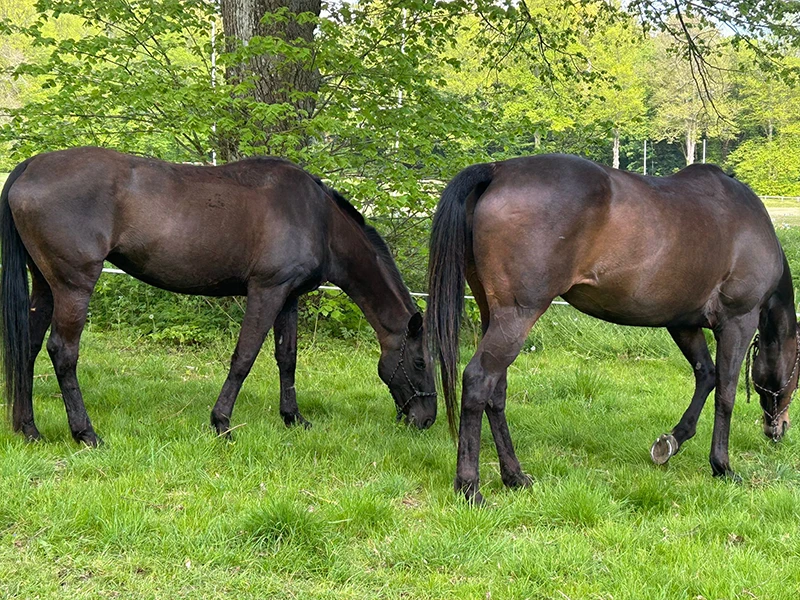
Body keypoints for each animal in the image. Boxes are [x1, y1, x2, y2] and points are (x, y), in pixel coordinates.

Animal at [0, 147, 436, 445]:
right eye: (419, 361)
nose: (427, 419)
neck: (319, 219)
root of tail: (29, 167)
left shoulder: (288, 297)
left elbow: (287, 359)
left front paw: (293, 418)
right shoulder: (266, 291)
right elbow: (244, 357)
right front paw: (222, 423)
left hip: (45, 284)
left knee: (28, 346)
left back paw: (29, 429)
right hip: (74, 286)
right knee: (62, 352)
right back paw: (85, 433)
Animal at [427, 153, 798, 504]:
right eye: (797, 372)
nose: (778, 428)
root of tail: (498, 170)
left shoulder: (682, 322)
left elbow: (705, 375)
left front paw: (671, 442)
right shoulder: (738, 321)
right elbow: (725, 392)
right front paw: (722, 466)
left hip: (495, 315)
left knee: (496, 390)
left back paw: (515, 476)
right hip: (517, 316)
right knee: (478, 381)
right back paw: (470, 488)